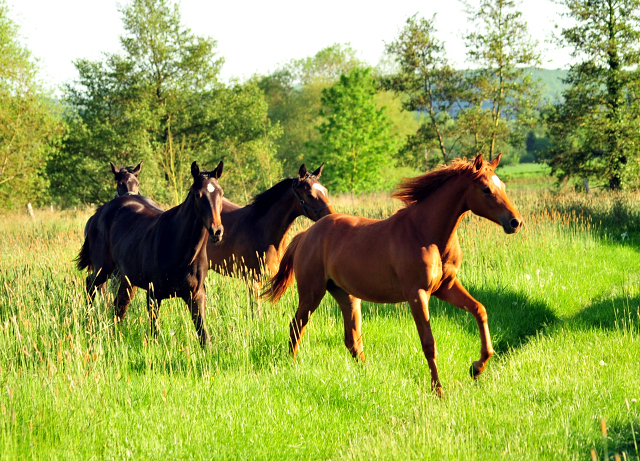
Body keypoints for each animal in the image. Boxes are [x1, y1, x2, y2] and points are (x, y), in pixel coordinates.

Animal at [78, 160, 225, 344]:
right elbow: (154, 332)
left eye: (221, 193)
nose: (216, 231)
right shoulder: (153, 294)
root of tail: (100, 211)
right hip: (103, 269)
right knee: (91, 286)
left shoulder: (196, 295)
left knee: (119, 306)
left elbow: (204, 337)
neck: (179, 247)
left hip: (126, 279)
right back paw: (88, 322)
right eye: (198, 195)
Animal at [262, 154, 524, 392]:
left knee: (352, 339)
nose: (515, 222)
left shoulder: (446, 287)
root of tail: (306, 234)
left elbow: (480, 310)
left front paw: (477, 367)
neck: (425, 233)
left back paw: (367, 375)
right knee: (296, 326)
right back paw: (291, 365)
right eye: (486, 189)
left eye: (502, 186)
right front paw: (438, 390)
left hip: (346, 296)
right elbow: (428, 342)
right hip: (312, 293)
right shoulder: (417, 294)